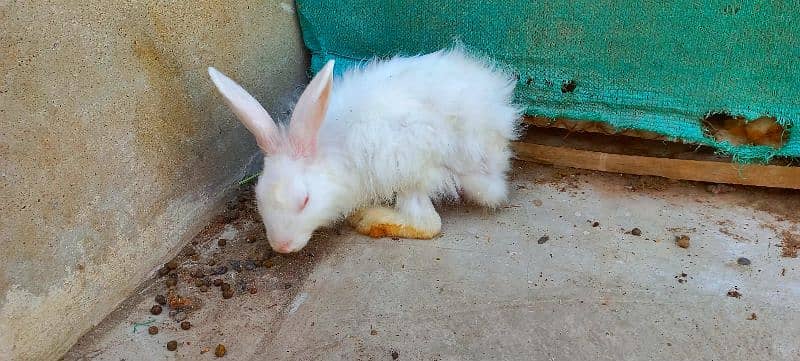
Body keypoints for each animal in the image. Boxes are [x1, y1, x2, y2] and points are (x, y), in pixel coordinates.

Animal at [208, 47, 520, 253]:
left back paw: (369, 218)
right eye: (259, 198)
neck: (329, 150)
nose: (281, 246)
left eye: (305, 201)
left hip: (409, 167)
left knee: (427, 223)